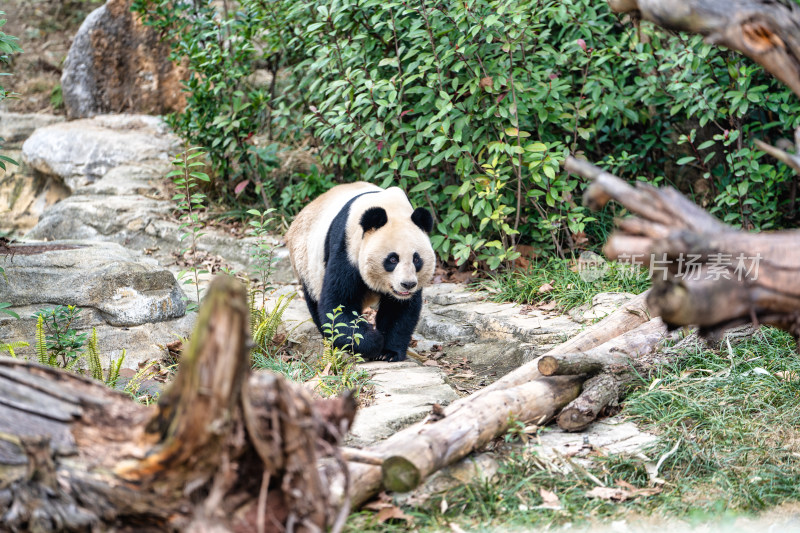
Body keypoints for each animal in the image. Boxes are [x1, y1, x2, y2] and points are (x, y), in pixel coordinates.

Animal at [288, 183, 434, 362]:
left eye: (416, 259)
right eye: (392, 259)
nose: (407, 284)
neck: (390, 208)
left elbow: (399, 310)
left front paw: (389, 352)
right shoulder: (347, 247)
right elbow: (338, 305)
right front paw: (373, 340)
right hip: (306, 261)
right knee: (315, 299)